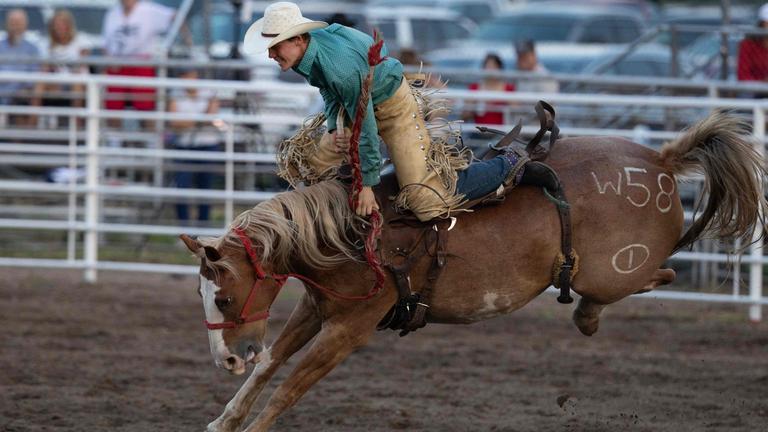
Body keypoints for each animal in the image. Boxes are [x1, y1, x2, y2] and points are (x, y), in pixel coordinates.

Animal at [180, 112, 767, 432]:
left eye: (224, 297)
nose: (225, 357)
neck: (350, 236)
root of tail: (660, 162)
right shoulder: (315, 306)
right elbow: (269, 364)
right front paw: (223, 418)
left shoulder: (349, 329)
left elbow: (290, 387)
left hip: (612, 272)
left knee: (650, 279)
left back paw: (588, 316)